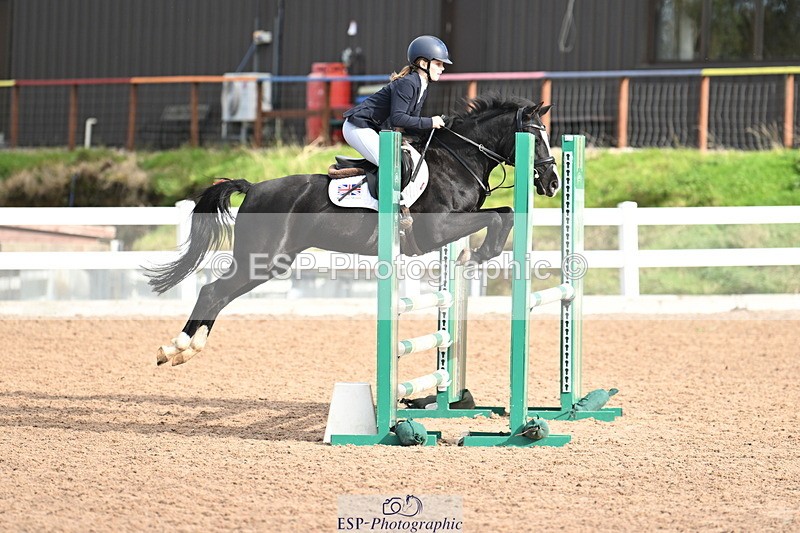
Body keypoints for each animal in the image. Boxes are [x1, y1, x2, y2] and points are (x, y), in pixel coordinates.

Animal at [146, 94, 559, 365]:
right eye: (535, 138)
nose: (553, 183)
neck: (459, 160)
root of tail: (254, 187)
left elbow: (504, 212)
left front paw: (477, 256)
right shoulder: (438, 229)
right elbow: (500, 214)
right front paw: (481, 254)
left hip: (270, 263)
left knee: (220, 294)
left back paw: (186, 349)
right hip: (261, 258)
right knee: (213, 291)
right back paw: (176, 348)